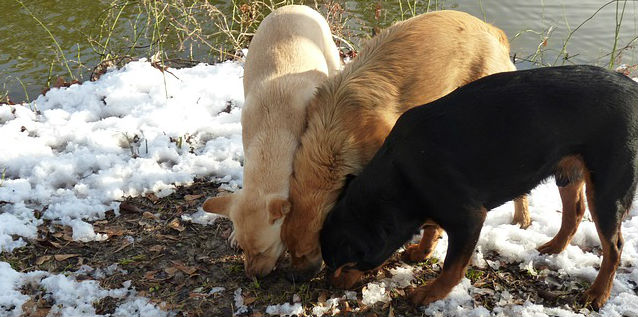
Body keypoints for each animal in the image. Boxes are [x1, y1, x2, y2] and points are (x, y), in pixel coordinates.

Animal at [284, 9, 524, 278]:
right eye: (288, 250)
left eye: (309, 251)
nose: (294, 277)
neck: (334, 135)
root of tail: (493, 30)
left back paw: (521, 221)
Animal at [322, 65, 638, 308]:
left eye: (345, 263)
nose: (328, 286)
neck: (401, 176)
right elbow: (431, 228)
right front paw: (421, 252)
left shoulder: (469, 219)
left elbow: (451, 268)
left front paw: (428, 293)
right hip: (568, 172)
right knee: (575, 212)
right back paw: (555, 247)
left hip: (608, 189)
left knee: (614, 247)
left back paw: (597, 294)